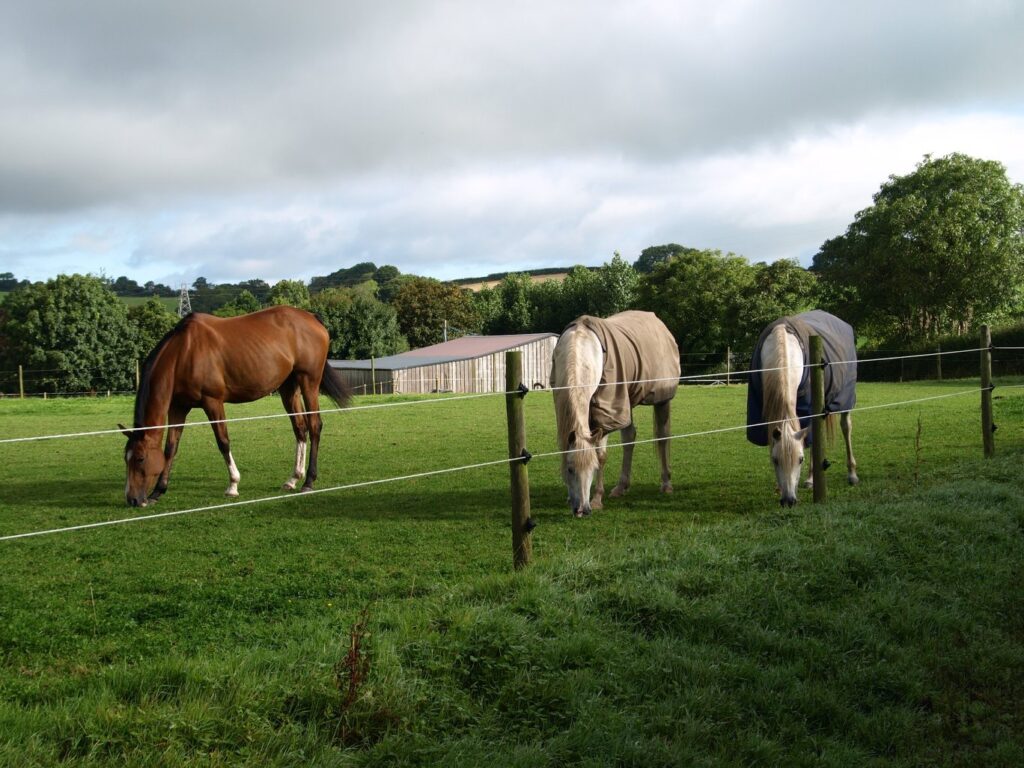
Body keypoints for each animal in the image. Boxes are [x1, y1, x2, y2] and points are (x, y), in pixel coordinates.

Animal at [118, 303, 352, 507]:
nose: (132, 499)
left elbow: (223, 441)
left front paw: (233, 485)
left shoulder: (212, 402)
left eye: (140, 458)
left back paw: (309, 481)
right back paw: (293, 478)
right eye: (125, 459)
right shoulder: (178, 407)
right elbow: (171, 448)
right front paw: (158, 491)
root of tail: (312, 318)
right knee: (300, 428)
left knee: (314, 425)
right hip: (288, 387)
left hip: (308, 381)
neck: (183, 352)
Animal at [548, 311, 684, 518]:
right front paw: (570, 497)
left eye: (594, 468)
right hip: (626, 399)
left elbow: (601, 454)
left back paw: (666, 484)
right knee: (629, 437)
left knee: (662, 438)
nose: (582, 510)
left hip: (661, 400)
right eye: (570, 470)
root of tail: (659, 323)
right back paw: (621, 487)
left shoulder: (606, 412)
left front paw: (597, 499)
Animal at [749, 309, 860, 507]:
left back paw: (850, 474)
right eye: (775, 460)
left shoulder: (809, 410)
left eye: (800, 460)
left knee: (846, 428)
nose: (789, 501)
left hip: (845, 400)